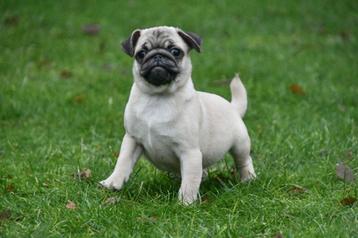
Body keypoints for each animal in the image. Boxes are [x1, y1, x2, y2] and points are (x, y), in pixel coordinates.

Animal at [100, 26, 256, 205]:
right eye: (141, 53)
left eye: (175, 51)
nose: (157, 55)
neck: (158, 97)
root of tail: (233, 107)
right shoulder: (132, 140)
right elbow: (123, 162)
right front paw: (112, 182)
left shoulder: (189, 151)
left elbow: (190, 180)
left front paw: (185, 202)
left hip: (240, 144)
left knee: (244, 160)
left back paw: (248, 178)